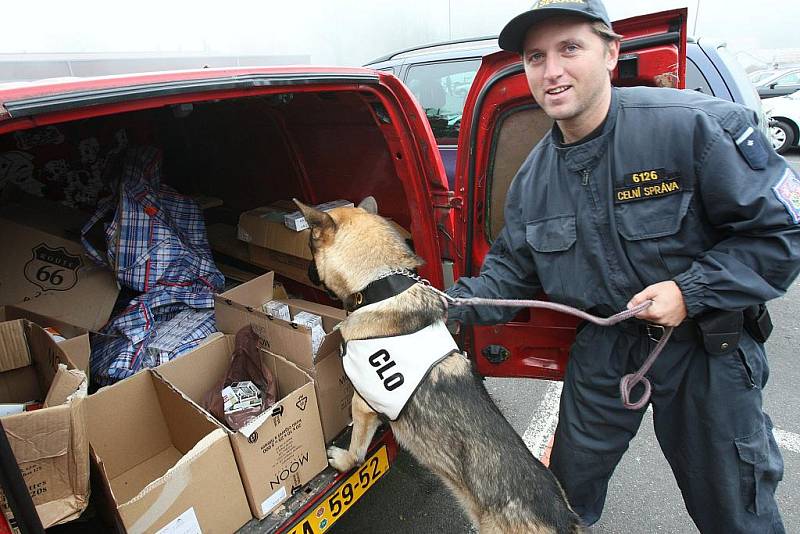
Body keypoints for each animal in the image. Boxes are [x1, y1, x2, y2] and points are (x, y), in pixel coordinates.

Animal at [294, 198, 580, 534]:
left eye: (310, 243)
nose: (305, 271)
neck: (380, 283)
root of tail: (562, 518)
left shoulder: (363, 404)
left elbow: (358, 450)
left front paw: (345, 460)